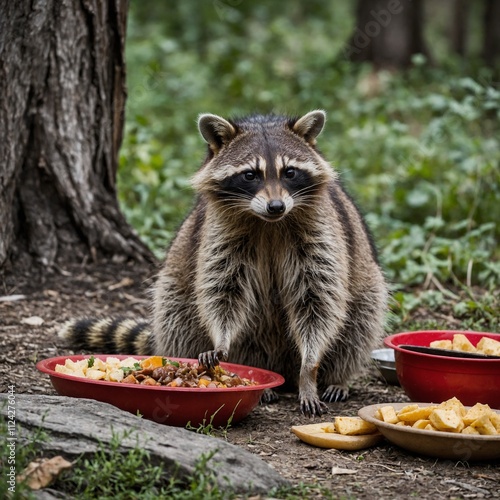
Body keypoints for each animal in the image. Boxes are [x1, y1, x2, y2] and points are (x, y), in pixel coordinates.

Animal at [58, 111, 386, 416]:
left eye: (290, 172)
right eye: (250, 175)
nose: (276, 206)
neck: (269, 224)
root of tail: (281, 370)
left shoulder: (321, 233)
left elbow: (318, 300)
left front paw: (310, 369)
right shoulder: (219, 233)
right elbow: (223, 291)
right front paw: (222, 340)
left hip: (364, 276)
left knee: (361, 318)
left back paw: (336, 377)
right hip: (180, 279)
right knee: (176, 311)